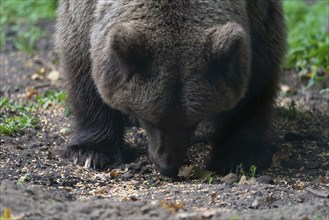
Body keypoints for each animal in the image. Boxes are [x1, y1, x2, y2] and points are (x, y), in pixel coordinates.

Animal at [56, 0, 284, 177]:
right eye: (148, 119)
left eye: (193, 121)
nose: (168, 166)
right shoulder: (85, 15)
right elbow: (83, 63)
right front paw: (90, 152)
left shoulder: (259, 18)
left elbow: (257, 77)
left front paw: (240, 154)